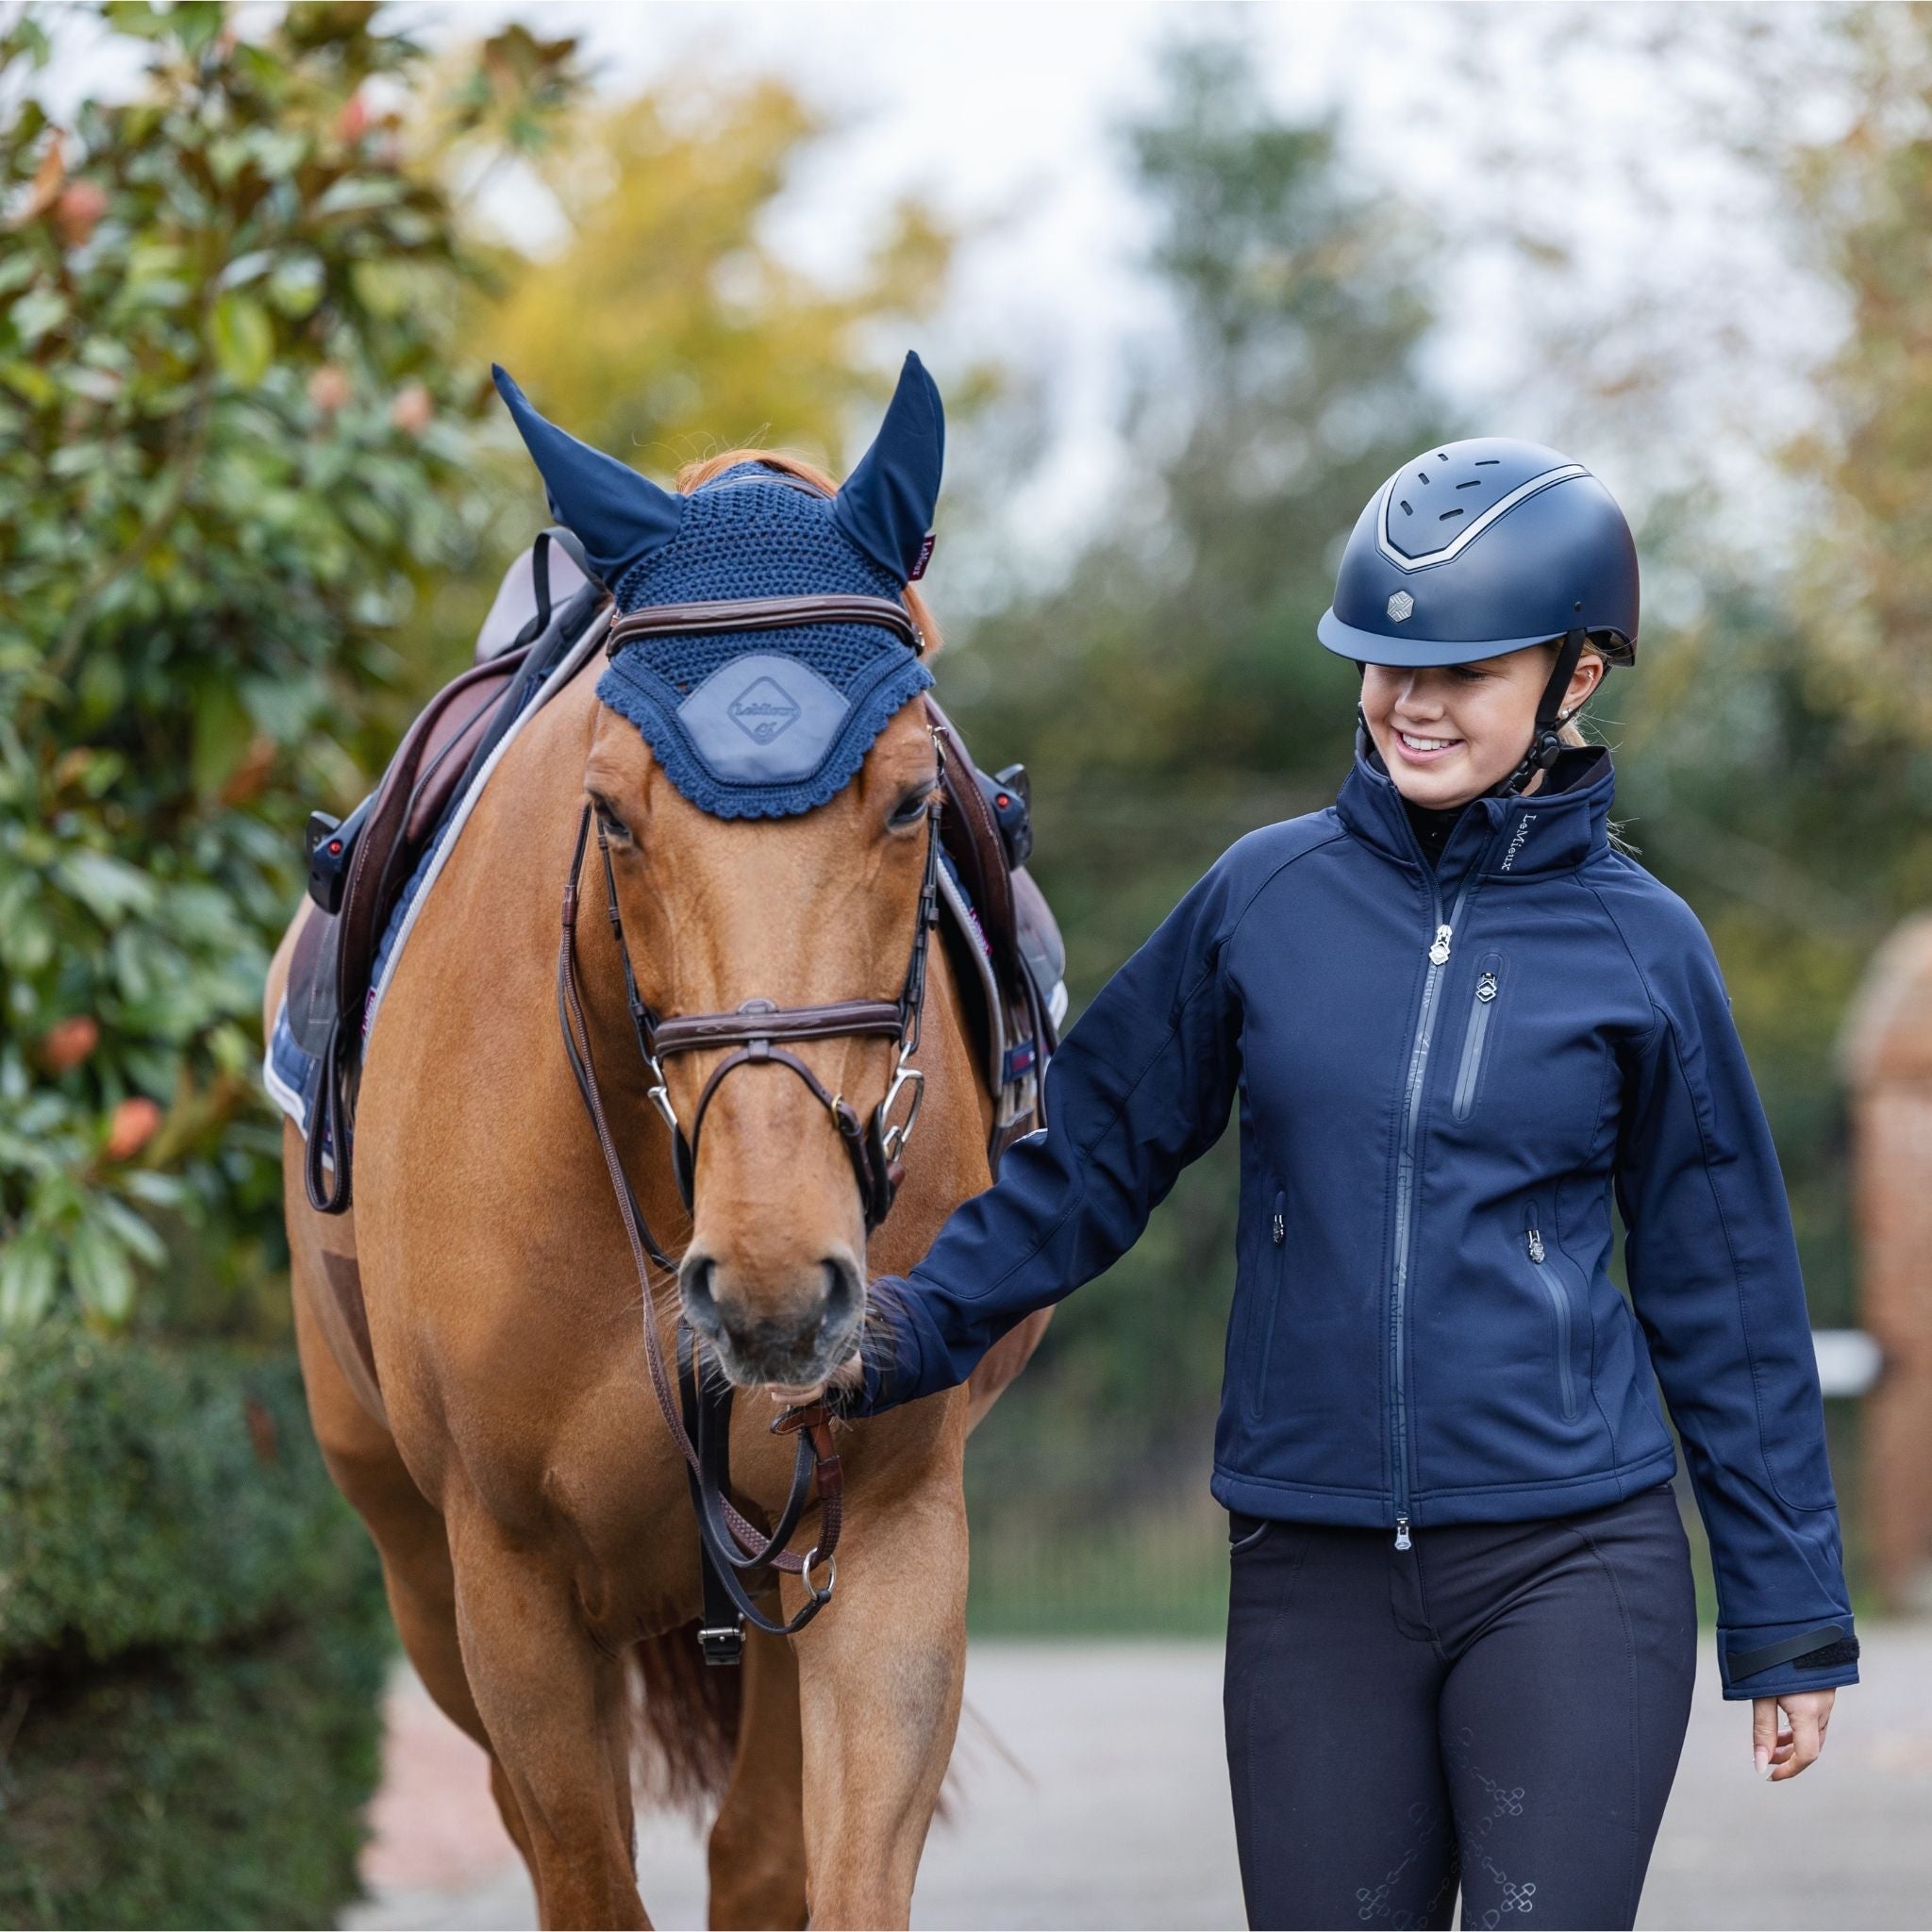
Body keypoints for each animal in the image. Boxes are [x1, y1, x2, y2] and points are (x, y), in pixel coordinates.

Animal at [266, 358, 1051, 1916]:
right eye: (614, 814)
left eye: (912, 800)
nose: (773, 1291)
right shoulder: (507, 1590)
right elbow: (580, 1872)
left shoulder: (890, 1537)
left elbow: (827, 1873)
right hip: (417, 1572)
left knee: (756, 1856)